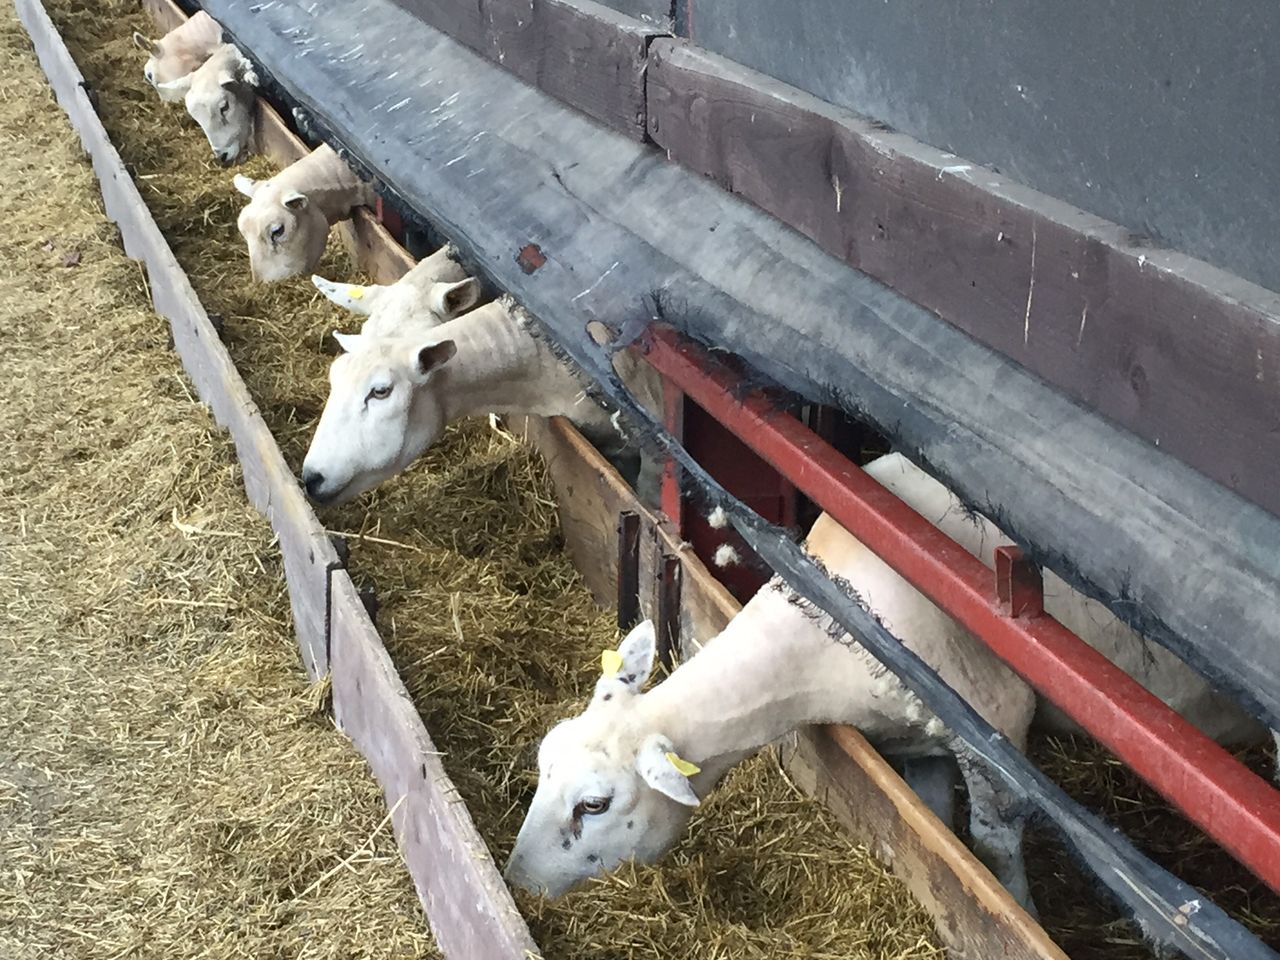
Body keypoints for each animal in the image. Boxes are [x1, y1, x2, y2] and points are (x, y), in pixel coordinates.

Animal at [504, 452, 1265, 909]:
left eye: (595, 805)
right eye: (544, 757)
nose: (517, 882)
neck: (835, 620)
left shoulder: (996, 731)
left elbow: (993, 844)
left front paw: (1015, 904)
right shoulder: (916, 746)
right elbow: (935, 831)